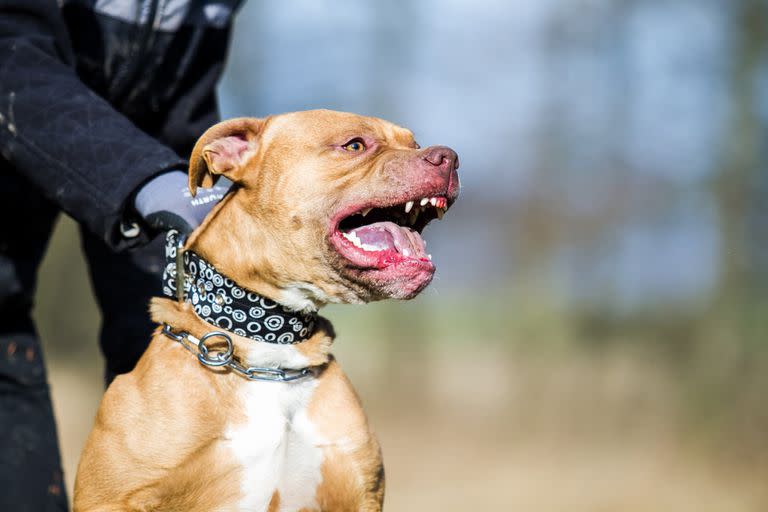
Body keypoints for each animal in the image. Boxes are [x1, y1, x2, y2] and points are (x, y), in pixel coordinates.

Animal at [73, 110, 456, 510]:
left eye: (414, 143)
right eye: (354, 145)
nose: (448, 157)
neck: (272, 348)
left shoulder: (359, 493)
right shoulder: (112, 498)